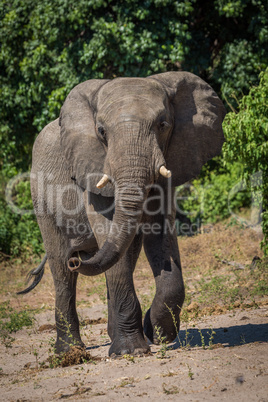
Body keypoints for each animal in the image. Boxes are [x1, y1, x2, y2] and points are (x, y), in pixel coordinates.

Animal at [17, 71, 225, 354]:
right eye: (102, 131)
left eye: (163, 124)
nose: (76, 258)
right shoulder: (92, 166)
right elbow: (107, 229)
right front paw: (132, 351)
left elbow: (160, 234)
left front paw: (157, 332)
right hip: (40, 198)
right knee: (62, 268)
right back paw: (71, 353)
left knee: (121, 255)